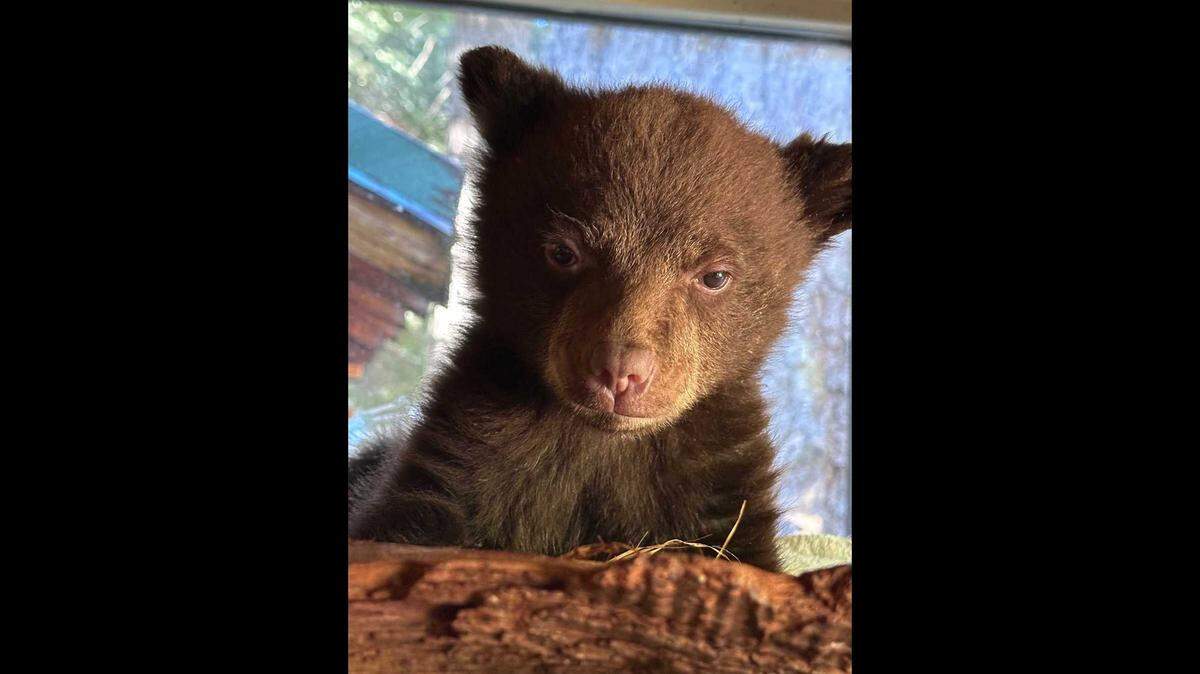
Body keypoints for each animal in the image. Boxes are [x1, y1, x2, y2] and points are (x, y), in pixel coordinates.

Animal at [348, 45, 851, 572]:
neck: (605, 442)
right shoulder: (453, 460)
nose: (620, 372)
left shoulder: (721, 488)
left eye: (715, 276)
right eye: (563, 252)